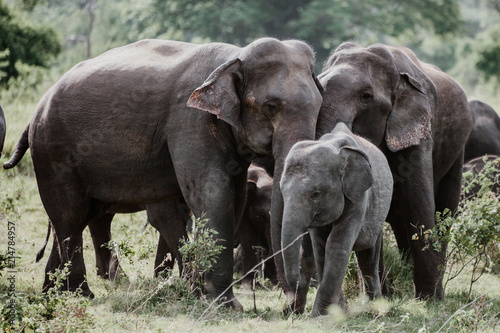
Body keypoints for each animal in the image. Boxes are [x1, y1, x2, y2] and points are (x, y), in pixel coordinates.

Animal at [3, 37, 322, 308]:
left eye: (319, 106)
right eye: (271, 106)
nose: (288, 307)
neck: (235, 56)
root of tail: (36, 113)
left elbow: (236, 197)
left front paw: (200, 294)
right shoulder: (189, 119)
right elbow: (212, 192)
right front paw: (225, 306)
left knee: (78, 217)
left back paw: (52, 292)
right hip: (53, 151)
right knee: (70, 215)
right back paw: (81, 295)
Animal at [280, 122, 392, 316]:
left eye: (316, 194)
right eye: (282, 191)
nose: (300, 280)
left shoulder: (359, 195)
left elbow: (337, 244)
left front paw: (320, 315)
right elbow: (320, 247)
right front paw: (335, 311)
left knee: (369, 256)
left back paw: (376, 311)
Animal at [308, 42, 472, 300]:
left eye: (366, 96)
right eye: (318, 87)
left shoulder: (419, 132)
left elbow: (418, 203)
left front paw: (430, 300)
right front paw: (381, 298)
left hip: (458, 150)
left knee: (445, 210)